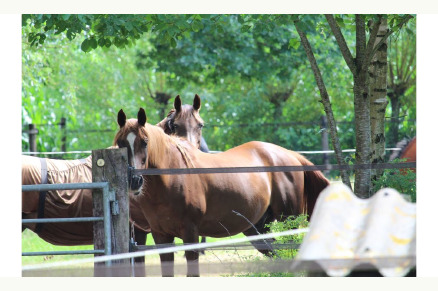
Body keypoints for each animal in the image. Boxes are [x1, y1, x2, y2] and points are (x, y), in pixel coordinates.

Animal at [113, 108, 328, 278]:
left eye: (145, 142)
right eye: (121, 143)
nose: (134, 181)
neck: (173, 177)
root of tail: (292, 156)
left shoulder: (190, 233)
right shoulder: (161, 236)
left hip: (288, 222)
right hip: (258, 229)